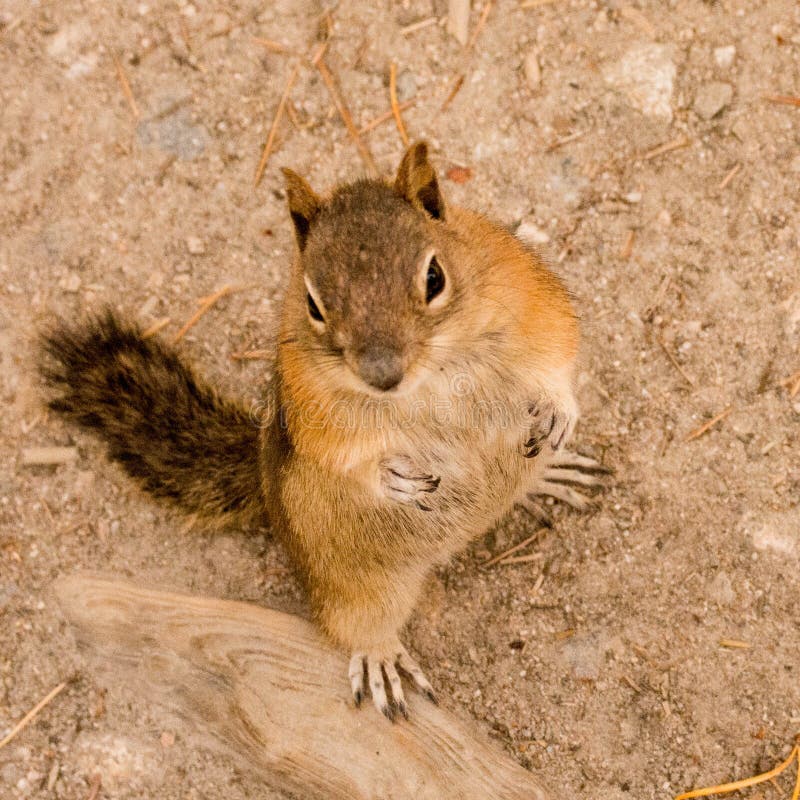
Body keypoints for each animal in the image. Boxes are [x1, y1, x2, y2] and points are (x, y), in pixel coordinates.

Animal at [40, 142, 608, 720]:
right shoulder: (311, 402)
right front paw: (393, 477)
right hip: (354, 585)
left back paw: (551, 472)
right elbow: (342, 454)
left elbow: (558, 355)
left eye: (434, 278)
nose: (382, 374)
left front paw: (560, 412)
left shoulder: (530, 298)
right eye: (313, 304)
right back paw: (380, 656)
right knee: (354, 626)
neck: (428, 377)